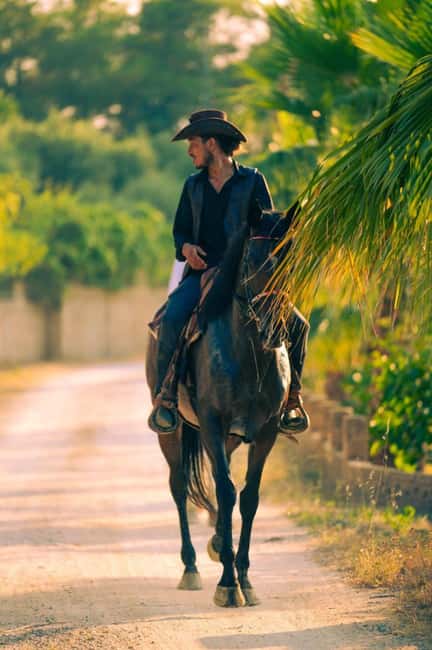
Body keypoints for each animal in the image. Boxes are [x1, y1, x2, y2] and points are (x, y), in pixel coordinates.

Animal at [146, 209, 292, 607]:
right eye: (252, 261)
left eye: (292, 258)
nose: (275, 326)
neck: (249, 352)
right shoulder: (211, 423)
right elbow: (226, 493)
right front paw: (228, 584)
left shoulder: (266, 432)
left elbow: (248, 497)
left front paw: (245, 578)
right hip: (174, 430)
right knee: (180, 485)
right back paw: (191, 568)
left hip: (230, 438)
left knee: (214, 477)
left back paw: (216, 542)